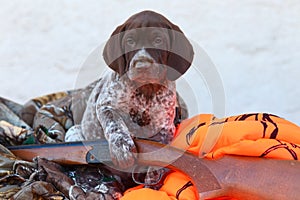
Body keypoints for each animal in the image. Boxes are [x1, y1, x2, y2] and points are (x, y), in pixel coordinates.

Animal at [28, 10, 195, 170]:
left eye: (158, 40)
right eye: (130, 41)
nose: (141, 66)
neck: (145, 90)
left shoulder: (166, 125)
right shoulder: (105, 106)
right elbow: (115, 125)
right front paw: (122, 149)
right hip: (74, 131)